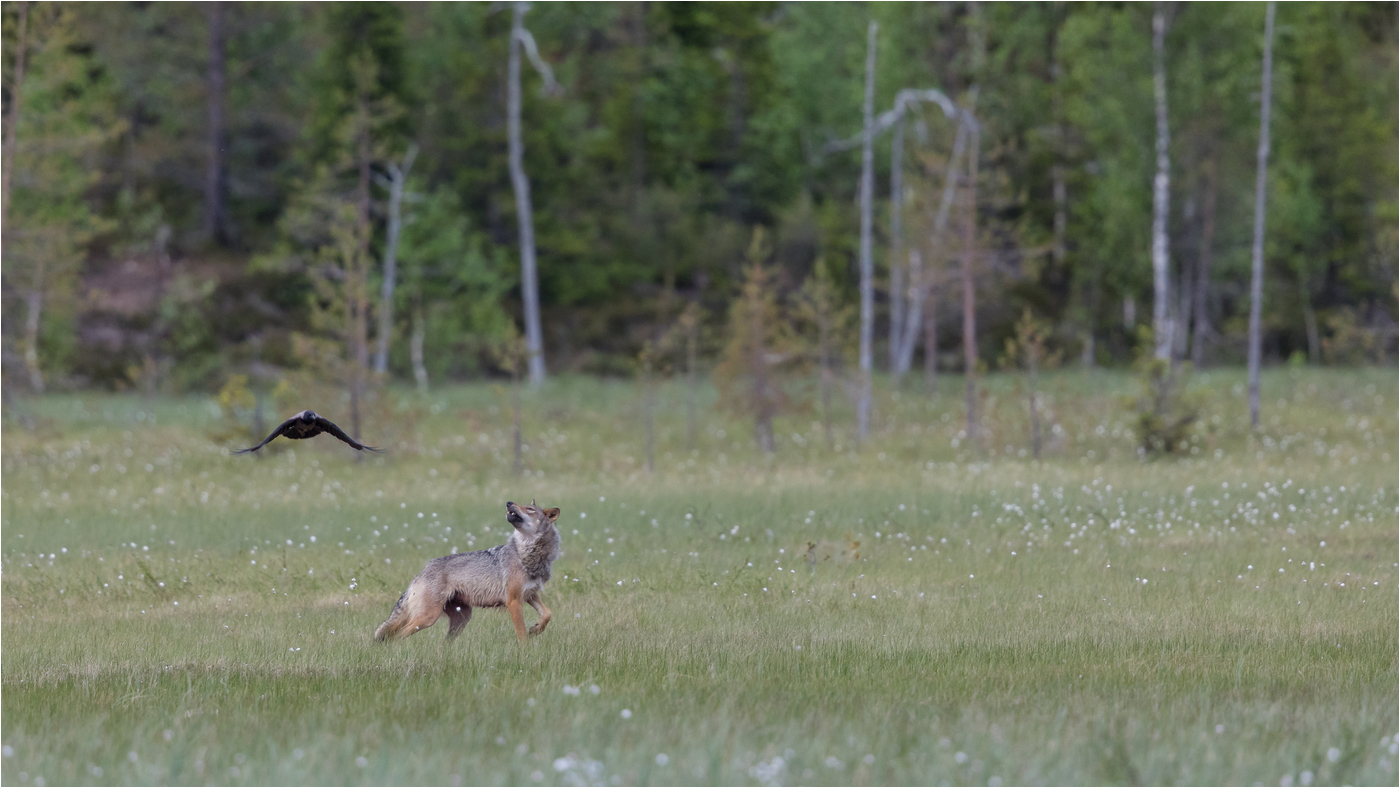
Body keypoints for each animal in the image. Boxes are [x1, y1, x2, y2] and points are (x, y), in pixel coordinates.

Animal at [378, 503, 568, 643]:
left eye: (530, 509)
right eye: (522, 504)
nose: (509, 502)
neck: (526, 555)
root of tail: (422, 570)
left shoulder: (529, 594)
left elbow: (547, 614)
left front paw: (536, 629)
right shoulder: (513, 601)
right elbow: (521, 633)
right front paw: (525, 651)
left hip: (461, 620)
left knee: (443, 643)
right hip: (427, 618)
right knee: (396, 636)